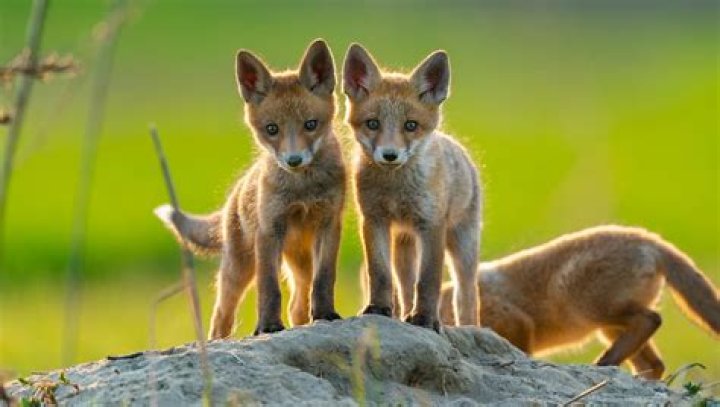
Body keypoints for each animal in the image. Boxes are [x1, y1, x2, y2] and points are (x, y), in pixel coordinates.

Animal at [155, 39, 346, 338]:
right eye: (272, 129)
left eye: (311, 124)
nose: (293, 161)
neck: (302, 189)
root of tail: (235, 193)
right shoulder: (269, 230)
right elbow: (269, 289)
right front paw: (267, 327)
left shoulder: (329, 224)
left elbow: (324, 279)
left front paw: (326, 315)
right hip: (239, 268)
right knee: (222, 315)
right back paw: (216, 342)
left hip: (300, 263)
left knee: (297, 305)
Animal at [342, 44, 482, 331]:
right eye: (373, 123)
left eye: (411, 126)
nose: (390, 155)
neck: (395, 190)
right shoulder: (374, 220)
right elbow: (380, 273)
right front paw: (380, 309)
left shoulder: (431, 224)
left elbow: (428, 280)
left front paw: (425, 319)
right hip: (404, 246)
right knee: (405, 287)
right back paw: (403, 313)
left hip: (463, 245)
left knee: (467, 295)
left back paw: (469, 327)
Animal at [437, 225, 720, 379]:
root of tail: (650, 239)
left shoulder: (517, 323)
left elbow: (521, 352)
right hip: (608, 328)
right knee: (654, 363)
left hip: (589, 308)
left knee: (651, 319)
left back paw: (603, 364)